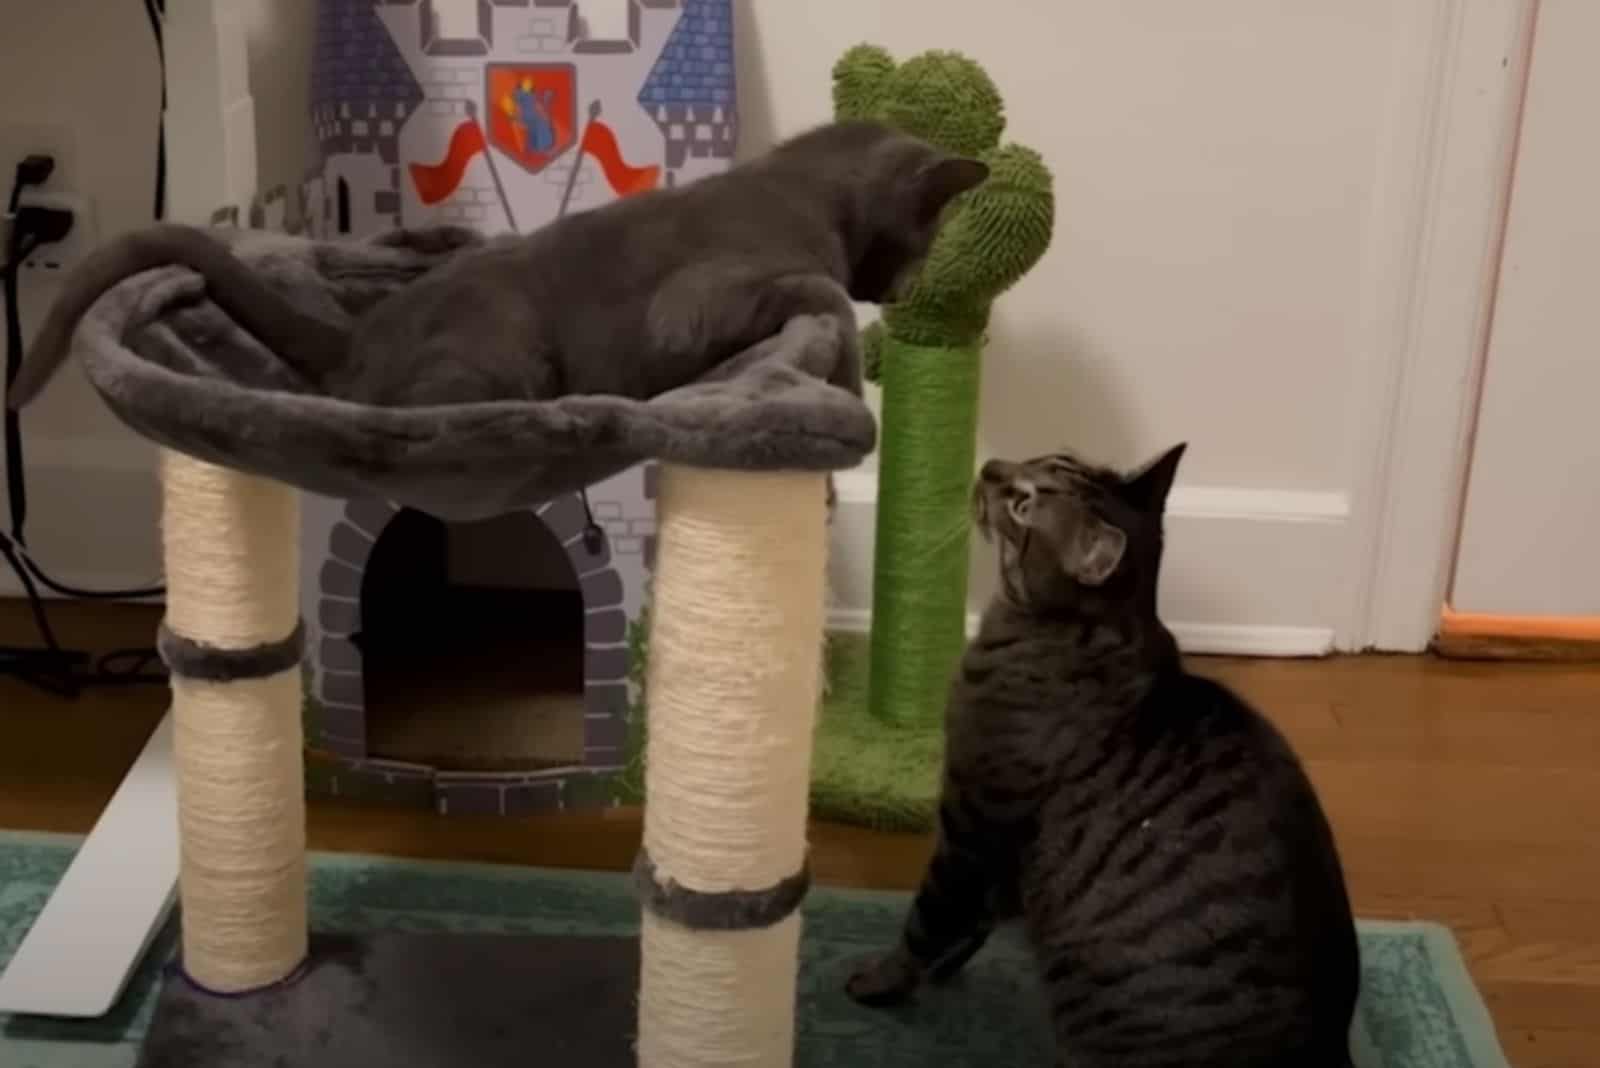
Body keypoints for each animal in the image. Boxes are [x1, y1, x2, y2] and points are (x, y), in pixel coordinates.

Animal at [9, 119, 985, 412]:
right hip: (506, 350)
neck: (806, 190)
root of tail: (357, 335)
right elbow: (822, 291)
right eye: (931, 238)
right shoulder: (695, 307)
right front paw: (850, 386)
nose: (908, 290)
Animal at [844, 441, 1356, 1068]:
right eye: (1042, 456)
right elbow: (973, 922)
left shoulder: (970, 829)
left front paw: (879, 980)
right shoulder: (998, 862)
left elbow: (924, 924)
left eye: (1022, 504)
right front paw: (945, 966)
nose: (991, 468)